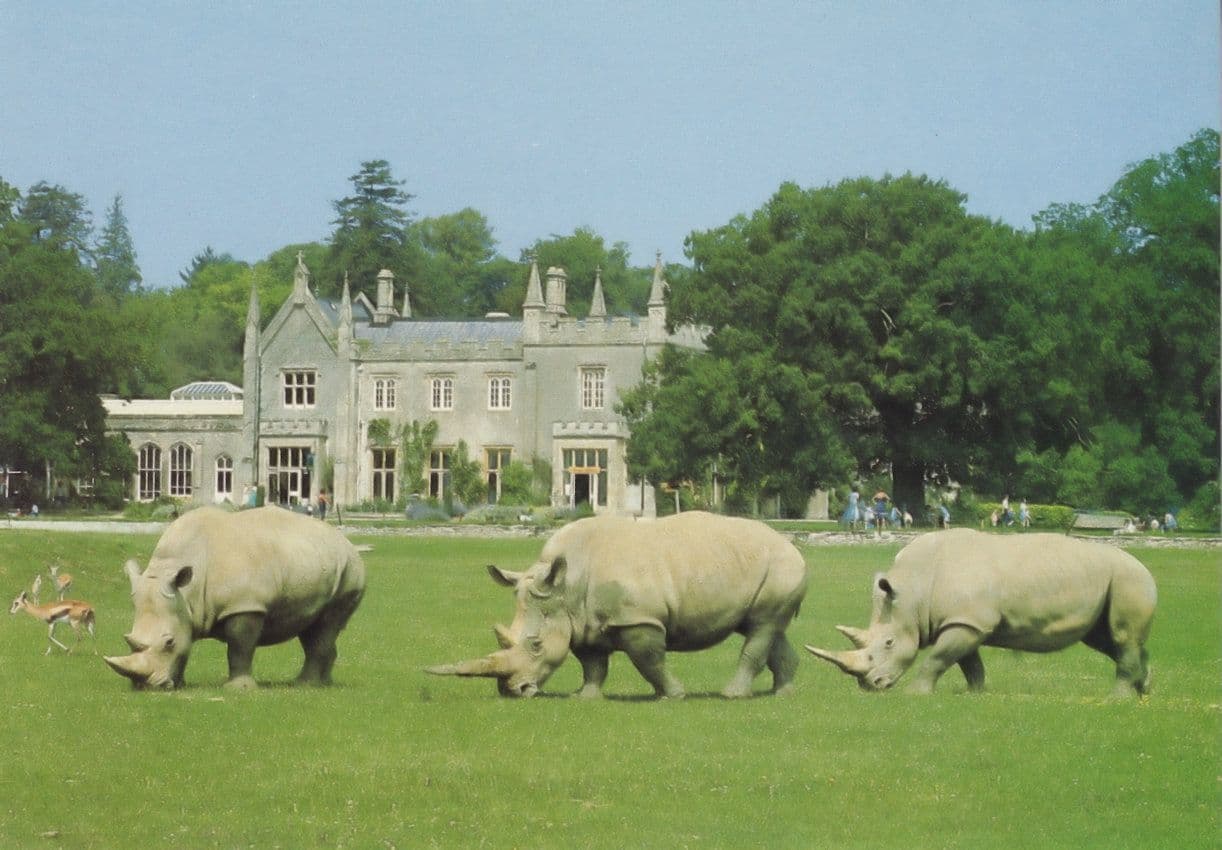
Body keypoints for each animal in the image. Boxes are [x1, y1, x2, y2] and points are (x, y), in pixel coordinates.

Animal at [105, 506, 366, 690]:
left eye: (168, 642)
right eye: (128, 639)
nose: (143, 686)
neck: (187, 593)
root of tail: (347, 543)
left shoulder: (244, 604)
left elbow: (240, 647)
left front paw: (238, 689)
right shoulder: (182, 608)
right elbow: (187, 647)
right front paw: (179, 684)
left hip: (349, 572)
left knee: (326, 625)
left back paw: (305, 685)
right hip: (318, 562)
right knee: (314, 628)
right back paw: (324, 683)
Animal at [427, 511, 808, 699]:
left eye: (535, 645)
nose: (511, 691)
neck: (565, 586)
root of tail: (791, 545)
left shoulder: (638, 620)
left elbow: (650, 661)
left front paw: (673, 696)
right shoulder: (580, 621)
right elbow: (593, 664)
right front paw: (585, 697)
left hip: (781, 565)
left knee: (761, 628)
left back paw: (732, 696)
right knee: (767, 628)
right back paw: (783, 694)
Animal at [806, 529, 1156, 696]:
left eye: (889, 643)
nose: (871, 686)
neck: (914, 591)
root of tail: (1145, 567)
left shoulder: (968, 622)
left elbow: (937, 659)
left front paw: (916, 694)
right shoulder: (963, 621)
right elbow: (968, 664)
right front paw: (975, 695)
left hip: (1128, 578)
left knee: (1122, 637)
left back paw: (1118, 698)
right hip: (1113, 580)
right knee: (1108, 640)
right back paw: (1143, 691)